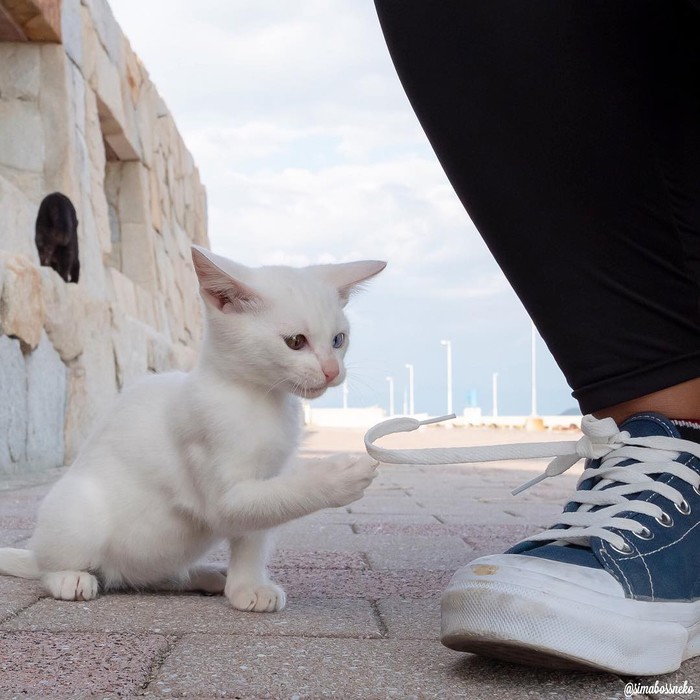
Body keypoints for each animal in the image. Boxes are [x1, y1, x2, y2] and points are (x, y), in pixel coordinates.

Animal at [0, 247, 382, 612]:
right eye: (296, 341)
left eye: (338, 340)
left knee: (152, 576)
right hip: (77, 510)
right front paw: (339, 476)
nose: (332, 371)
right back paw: (70, 578)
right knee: (51, 565)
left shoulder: (267, 475)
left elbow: (255, 532)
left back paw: (205, 576)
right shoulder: (221, 488)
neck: (260, 402)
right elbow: (279, 495)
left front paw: (247, 587)